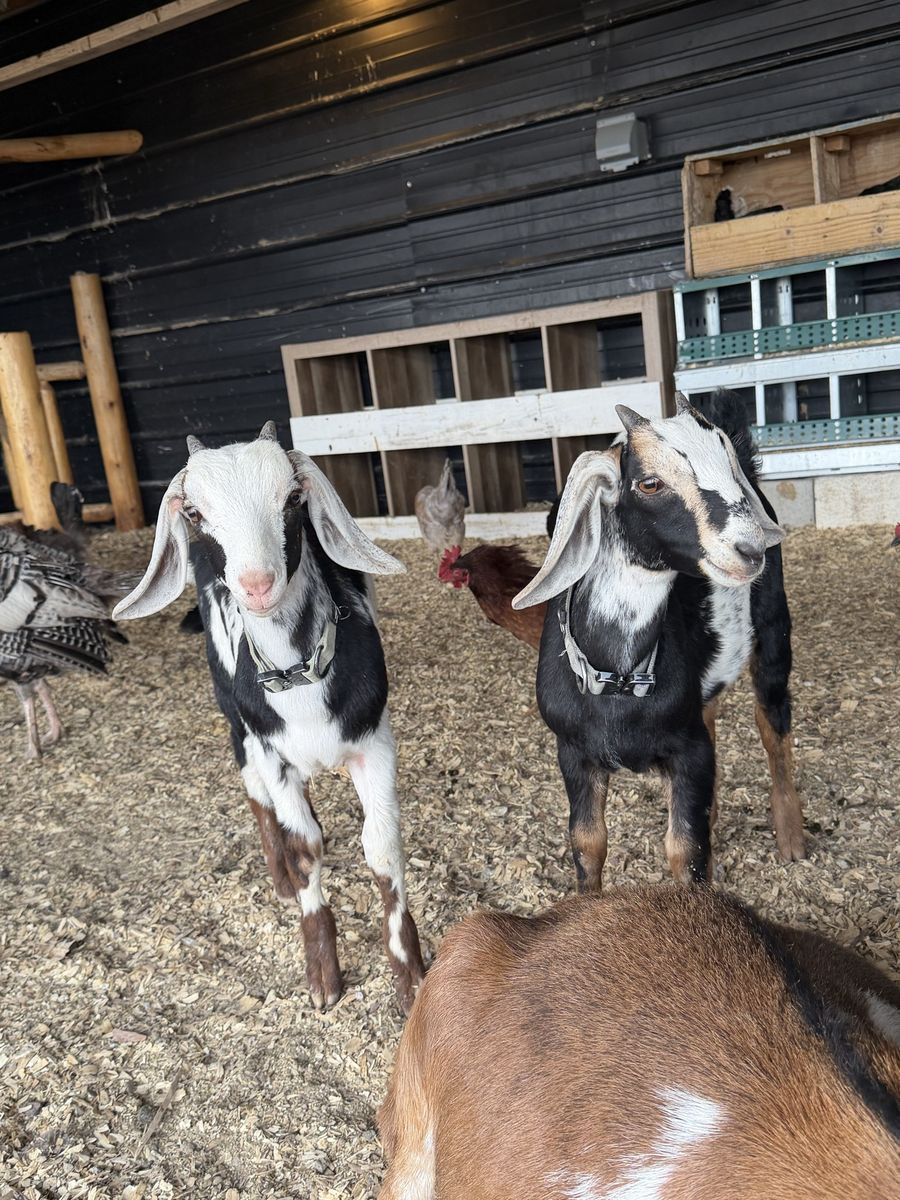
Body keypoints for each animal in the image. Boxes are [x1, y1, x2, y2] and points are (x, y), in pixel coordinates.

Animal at [113, 422, 425, 1012]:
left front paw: (410, 975)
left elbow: (382, 847)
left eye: (293, 498)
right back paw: (278, 875)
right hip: (235, 719)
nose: (257, 584)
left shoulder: (375, 741)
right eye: (194, 512)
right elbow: (305, 850)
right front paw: (323, 977)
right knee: (254, 788)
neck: (298, 677)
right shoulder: (270, 749)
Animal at [512, 392, 800, 888]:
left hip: (774, 631)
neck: (619, 678)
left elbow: (685, 849)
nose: (750, 549)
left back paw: (792, 840)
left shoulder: (688, 749)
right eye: (649, 483)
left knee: (773, 720)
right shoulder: (572, 752)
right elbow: (587, 842)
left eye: (729, 470)